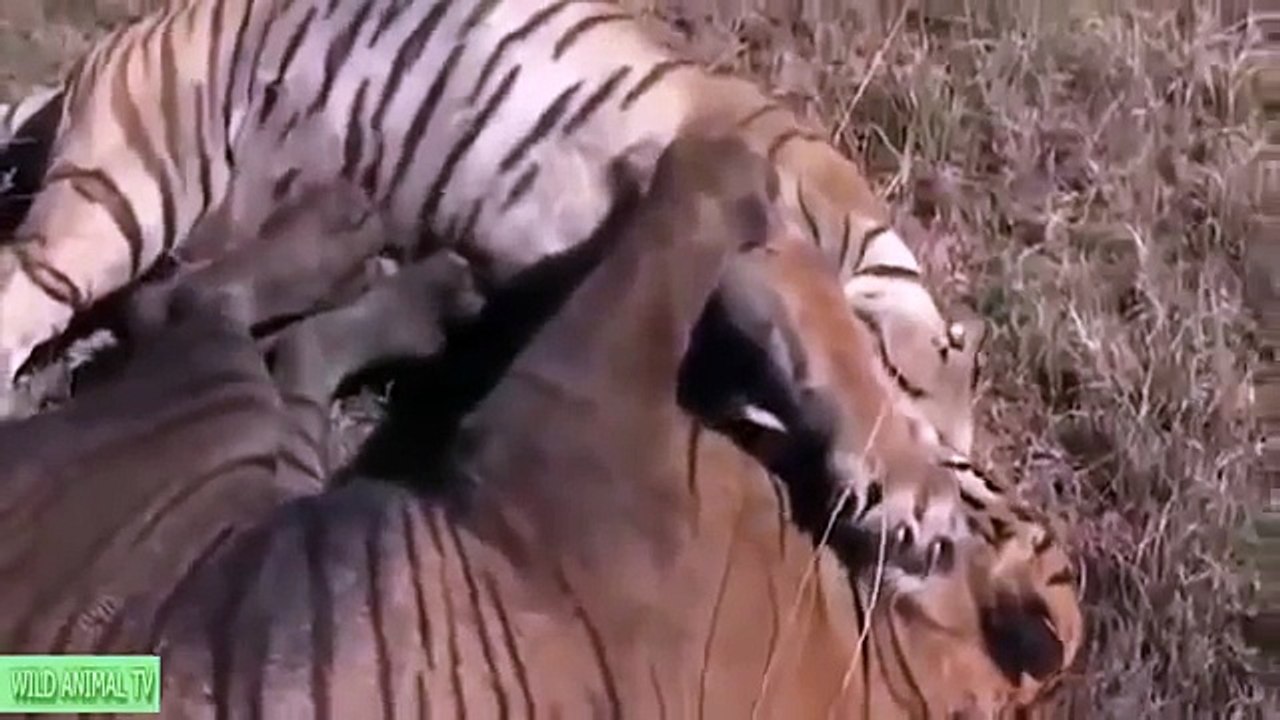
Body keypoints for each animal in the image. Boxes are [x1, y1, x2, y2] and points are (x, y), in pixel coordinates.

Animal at [0, 0, 983, 528]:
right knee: (25, 292)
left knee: (165, 302)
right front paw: (909, 482)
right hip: (127, 187)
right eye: (972, 477)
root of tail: (117, 42)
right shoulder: (771, 224)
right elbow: (837, 346)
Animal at [62, 132, 1076, 719]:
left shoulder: (582, 397)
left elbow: (684, 214)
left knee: (202, 307)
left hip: (205, 422)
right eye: (971, 466)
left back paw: (360, 244)